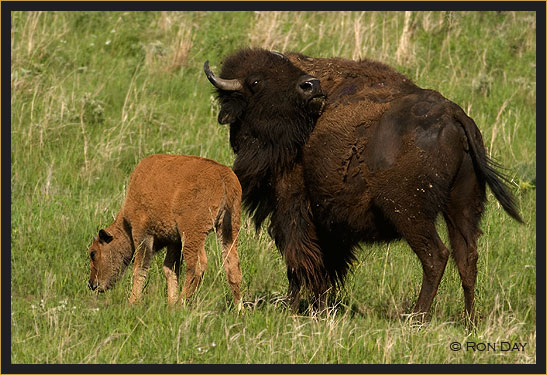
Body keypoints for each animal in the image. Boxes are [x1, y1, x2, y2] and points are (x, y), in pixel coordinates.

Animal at [88, 154, 242, 306]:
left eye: (93, 253)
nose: (91, 284)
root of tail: (224, 176)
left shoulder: (142, 233)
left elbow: (140, 268)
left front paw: (133, 301)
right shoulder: (174, 241)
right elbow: (170, 270)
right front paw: (170, 302)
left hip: (192, 234)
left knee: (197, 266)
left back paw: (181, 304)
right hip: (228, 231)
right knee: (232, 267)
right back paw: (238, 309)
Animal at [204, 48, 524, 322]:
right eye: (256, 81)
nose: (310, 85)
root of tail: (454, 116)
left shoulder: (291, 206)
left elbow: (299, 259)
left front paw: (292, 307)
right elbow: (322, 263)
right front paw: (318, 307)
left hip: (409, 213)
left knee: (436, 256)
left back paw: (417, 317)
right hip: (463, 206)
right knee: (466, 257)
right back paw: (469, 321)